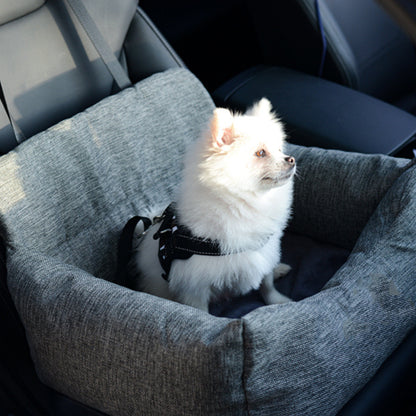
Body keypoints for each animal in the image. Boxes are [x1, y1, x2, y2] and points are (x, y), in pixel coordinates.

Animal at [130, 98, 296, 312]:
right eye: (260, 153)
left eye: (279, 150)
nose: (291, 159)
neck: (243, 203)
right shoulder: (194, 286)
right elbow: (200, 311)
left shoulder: (265, 253)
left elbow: (267, 284)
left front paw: (278, 301)